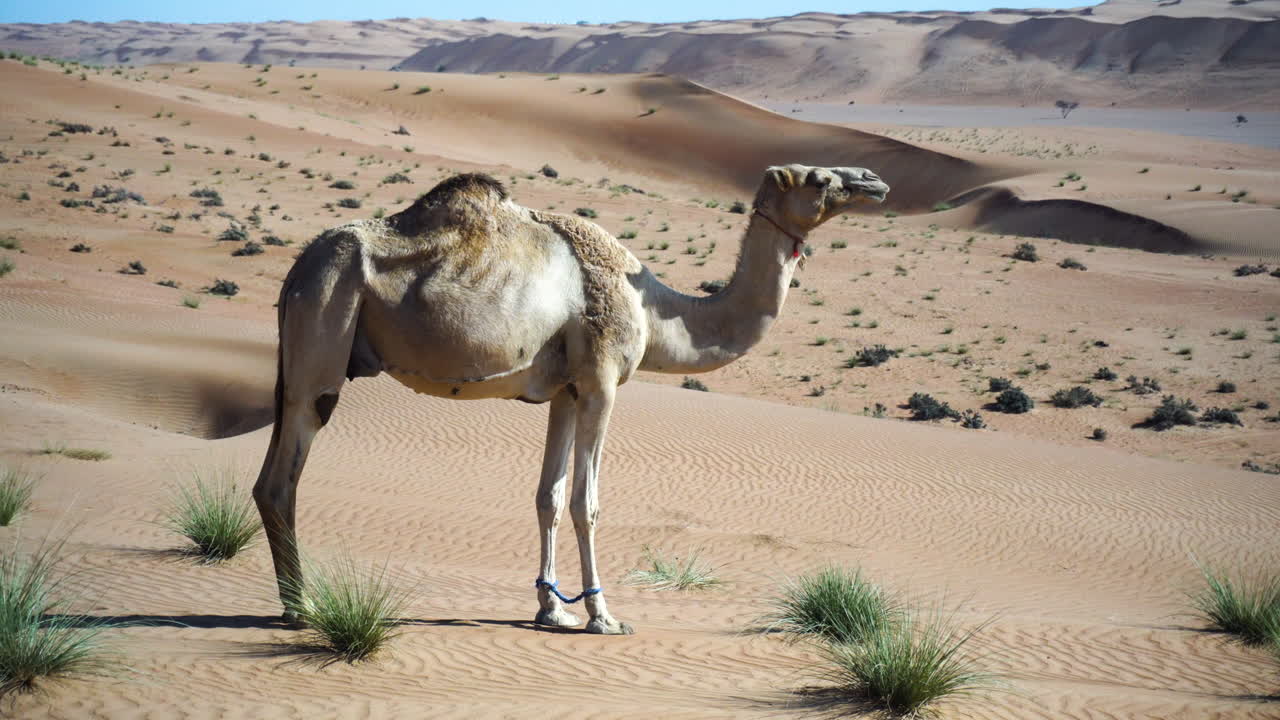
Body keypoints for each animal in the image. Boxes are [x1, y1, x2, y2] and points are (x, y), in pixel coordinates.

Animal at [253, 163, 890, 635]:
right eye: (818, 179)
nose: (874, 180)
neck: (657, 311)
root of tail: (296, 271)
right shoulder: (602, 381)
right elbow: (587, 501)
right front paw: (603, 616)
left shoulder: (564, 389)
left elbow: (549, 496)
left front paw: (551, 609)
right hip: (326, 323)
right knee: (285, 476)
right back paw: (301, 608)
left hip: (299, 351)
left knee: (267, 477)